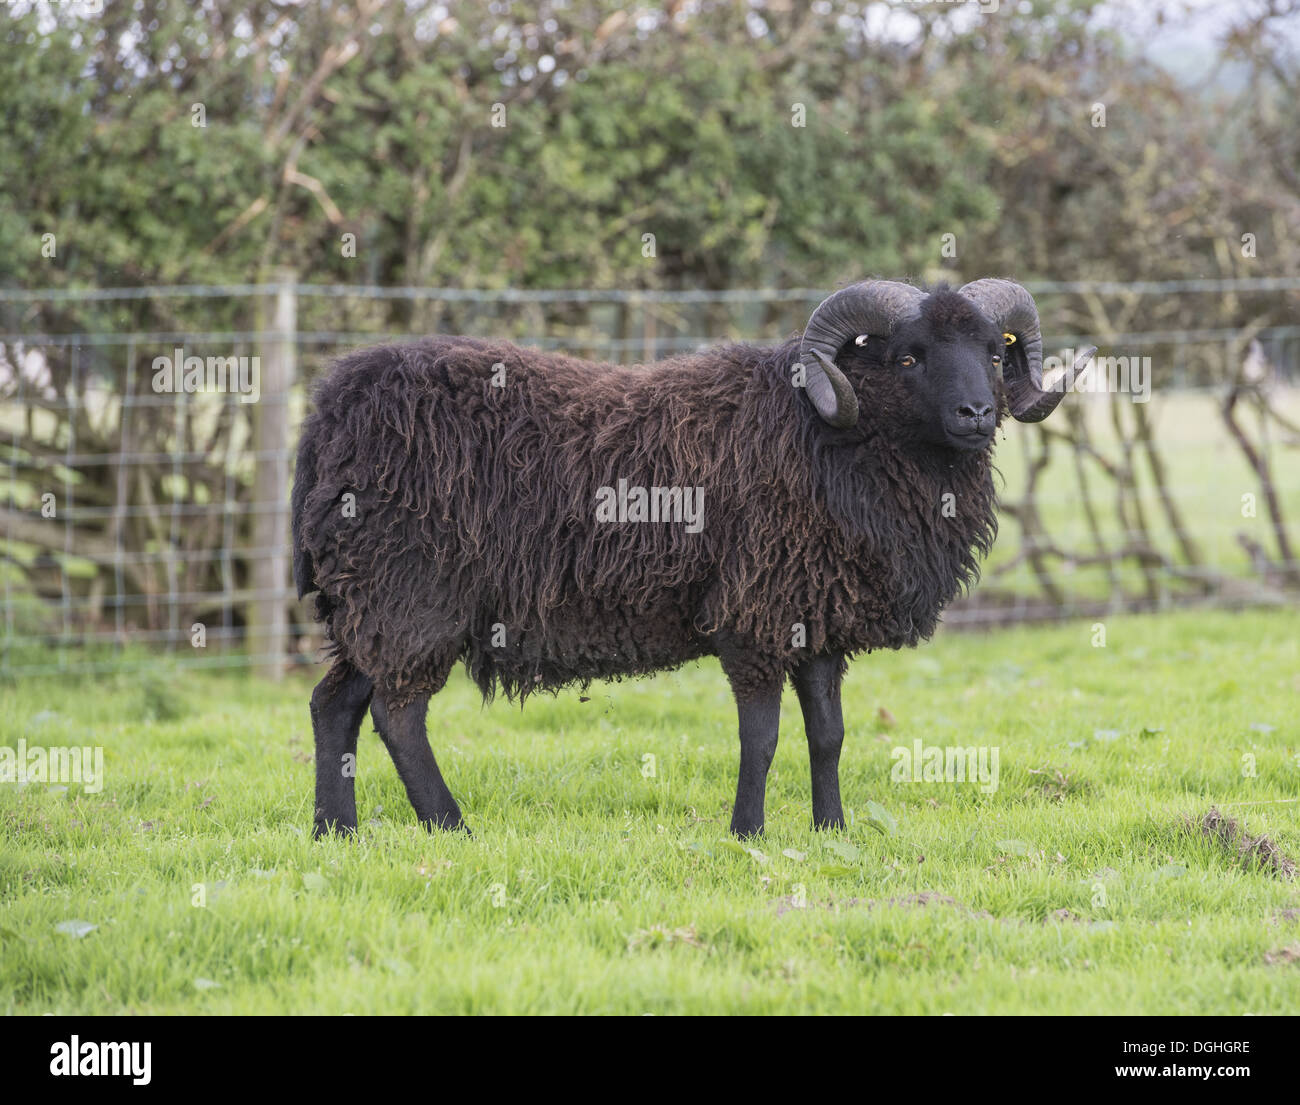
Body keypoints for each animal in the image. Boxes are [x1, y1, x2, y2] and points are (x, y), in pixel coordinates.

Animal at [292, 279, 1094, 838]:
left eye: (993, 351)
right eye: (908, 355)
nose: (977, 414)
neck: (829, 434)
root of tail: (330, 409)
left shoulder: (816, 615)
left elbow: (829, 735)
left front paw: (831, 830)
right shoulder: (756, 615)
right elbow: (762, 737)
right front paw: (749, 834)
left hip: (371, 599)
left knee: (335, 704)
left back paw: (337, 833)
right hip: (412, 591)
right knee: (398, 714)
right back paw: (450, 826)